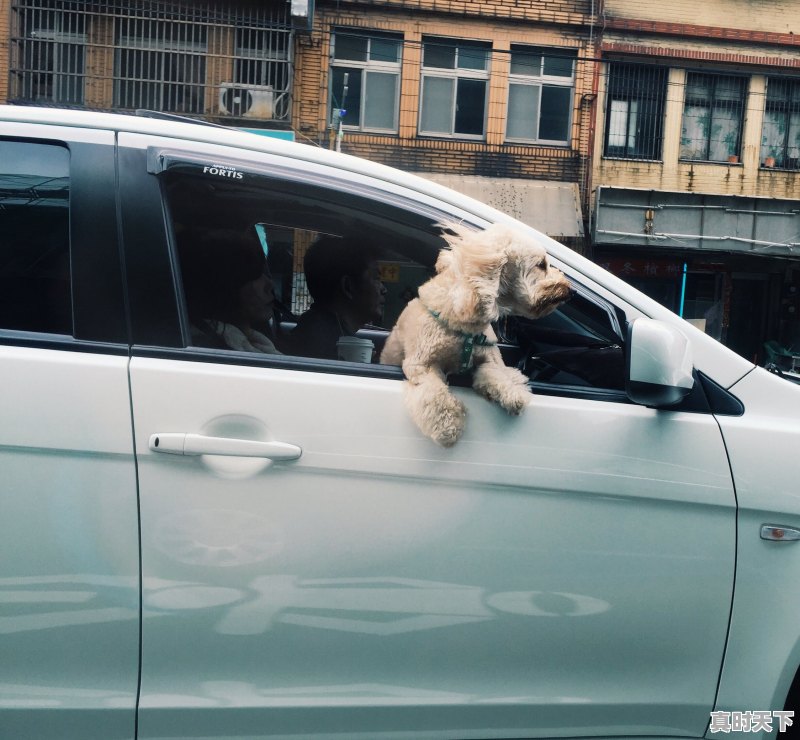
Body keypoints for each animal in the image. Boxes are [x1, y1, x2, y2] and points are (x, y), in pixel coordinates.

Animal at [382, 223, 576, 448]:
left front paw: (512, 393)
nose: (571, 290)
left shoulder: (488, 358)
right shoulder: (422, 366)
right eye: (541, 265)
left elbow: (496, 374)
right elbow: (436, 396)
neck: (464, 327)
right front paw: (449, 427)